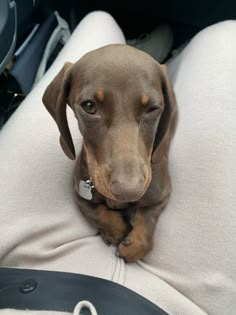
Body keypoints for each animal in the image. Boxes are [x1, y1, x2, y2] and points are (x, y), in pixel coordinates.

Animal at [42, 43, 177, 262]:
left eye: (152, 108)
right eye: (89, 106)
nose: (129, 191)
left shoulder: (161, 194)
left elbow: (147, 222)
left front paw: (133, 246)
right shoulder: (79, 193)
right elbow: (95, 213)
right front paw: (116, 231)